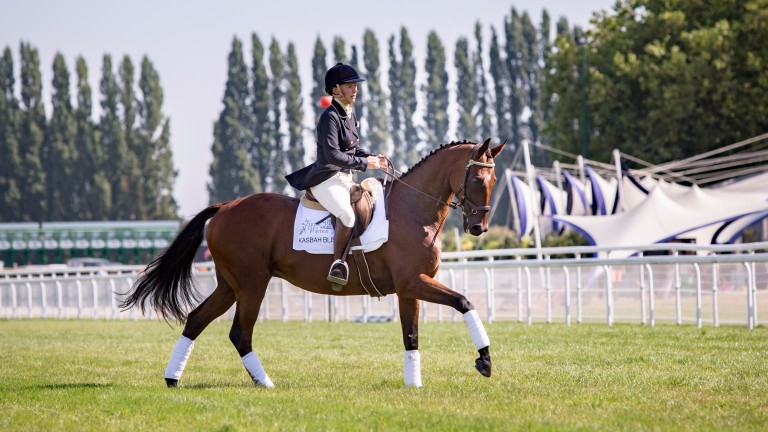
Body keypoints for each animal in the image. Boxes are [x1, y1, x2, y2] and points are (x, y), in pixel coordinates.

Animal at [121, 139, 504, 388]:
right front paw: (484, 361)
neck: (413, 210)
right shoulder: (414, 282)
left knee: (196, 320)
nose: (479, 228)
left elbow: (411, 335)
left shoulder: (409, 289)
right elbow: (464, 302)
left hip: (229, 285)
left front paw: (415, 385)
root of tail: (226, 207)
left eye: (494, 180)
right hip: (252, 284)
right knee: (239, 333)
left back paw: (172, 379)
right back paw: (266, 383)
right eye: (476, 178)